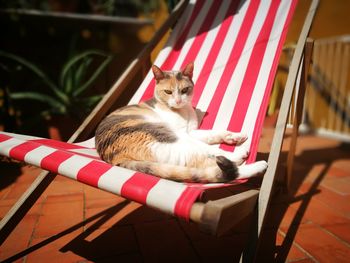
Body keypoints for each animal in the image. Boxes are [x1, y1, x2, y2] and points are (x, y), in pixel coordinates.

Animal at [94, 62, 266, 184]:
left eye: (184, 90)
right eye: (168, 92)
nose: (177, 100)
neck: (183, 111)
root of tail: (117, 159)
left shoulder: (191, 131)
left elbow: (214, 133)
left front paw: (234, 136)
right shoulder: (184, 133)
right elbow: (210, 143)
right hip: (170, 138)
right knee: (212, 159)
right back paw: (254, 162)